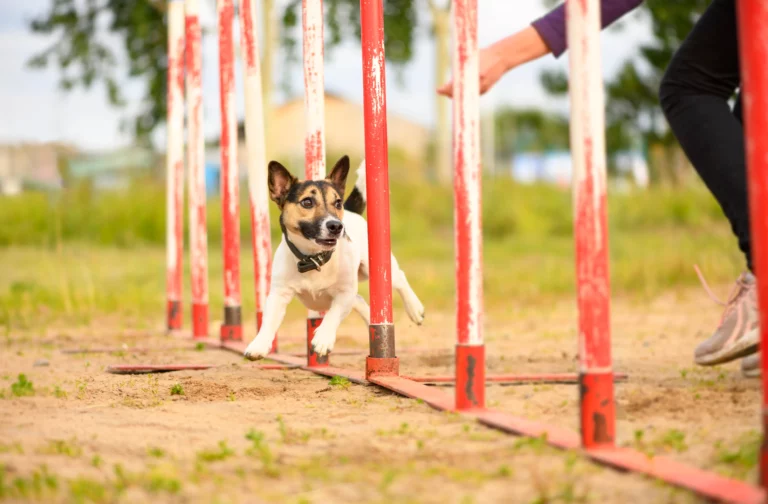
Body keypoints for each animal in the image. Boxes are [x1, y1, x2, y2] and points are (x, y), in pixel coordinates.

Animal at [244, 156, 426, 360]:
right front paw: (259, 344)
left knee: (399, 278)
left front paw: (323, 339)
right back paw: (373, 322)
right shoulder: (279, 294)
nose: (336, 226)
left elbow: (333, 315)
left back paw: (414, 309)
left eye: (337, 203)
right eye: (307, 202)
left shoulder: (344, 294)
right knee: (360, 300)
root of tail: (351, 212)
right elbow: (268, 320)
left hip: (372, 269)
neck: (314, 258)